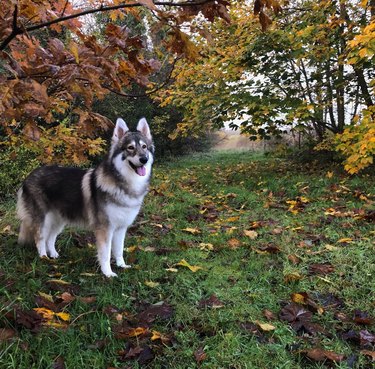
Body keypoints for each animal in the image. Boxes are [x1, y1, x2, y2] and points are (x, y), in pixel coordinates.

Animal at [16, 118, 154, 276]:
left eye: (144, 147)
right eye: (130, 148)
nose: (144, 159)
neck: (124, 183)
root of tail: (28, 176)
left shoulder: (121, 228)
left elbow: (119, 250)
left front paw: (121, 265)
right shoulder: (105, 229)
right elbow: (106, 254)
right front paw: (108, 273)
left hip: (58, 219)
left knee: (50, 237)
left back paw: (53, 255)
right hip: (42, 219)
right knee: (40, 238)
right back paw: (43, 257)